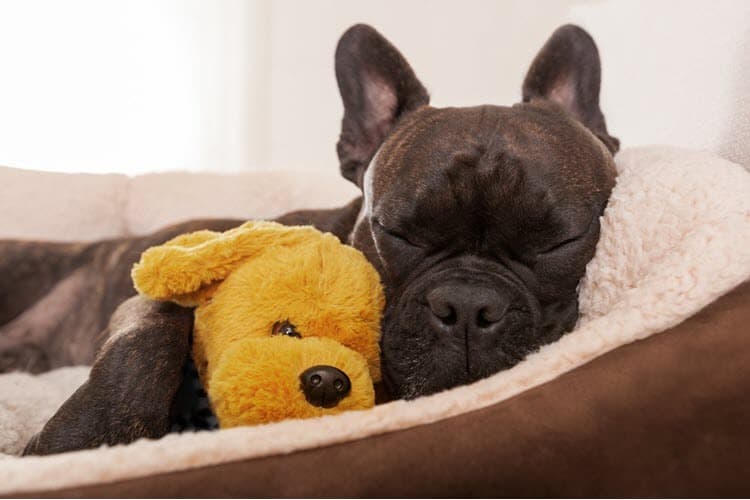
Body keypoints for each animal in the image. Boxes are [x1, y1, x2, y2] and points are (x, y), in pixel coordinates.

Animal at [2, 22, 620, 454]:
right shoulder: (153, 296)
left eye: (558, 242)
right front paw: (89, 438)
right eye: (396, 232)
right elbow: (150, 336)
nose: (467, 306)